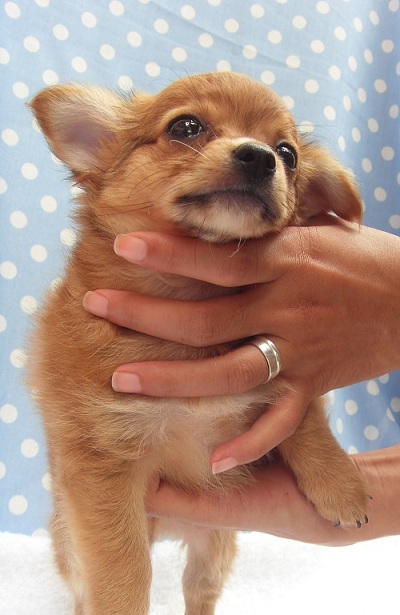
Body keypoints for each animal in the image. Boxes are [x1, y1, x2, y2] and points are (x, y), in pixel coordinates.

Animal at [29, 72, 368, 615]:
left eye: (288, 154)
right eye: (186, 127)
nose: (260, 157)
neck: (191, 293)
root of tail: (174, 528)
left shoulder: (285, 369)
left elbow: (304, 415)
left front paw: (341, 485)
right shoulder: (100, 466)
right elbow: (123, 575)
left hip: (216, 544)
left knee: (199, 591)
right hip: (73, 545)